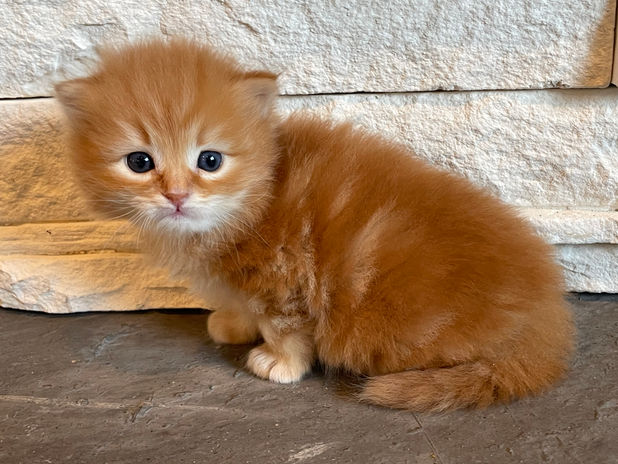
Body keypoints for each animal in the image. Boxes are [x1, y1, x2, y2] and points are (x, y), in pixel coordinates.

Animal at [55, 38, 574, 411]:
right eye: (140, 162)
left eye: (210, 160)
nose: (177, 195)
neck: (248, 206)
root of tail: (546, 326)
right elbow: (243, 308)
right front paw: (233, 323)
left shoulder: (284, 279)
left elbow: (284, 327)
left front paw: (279, 363)